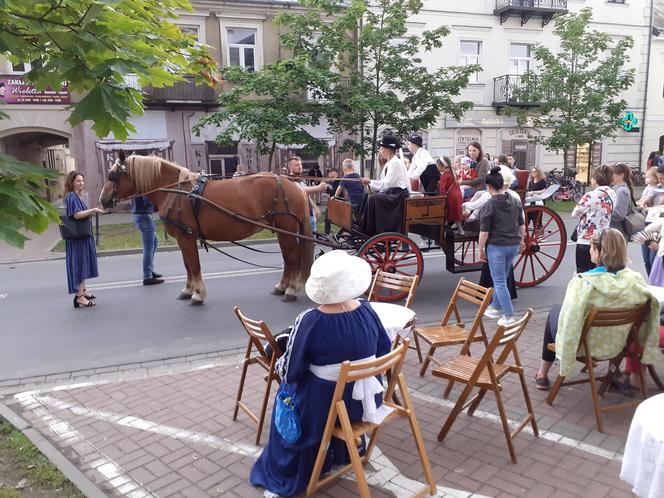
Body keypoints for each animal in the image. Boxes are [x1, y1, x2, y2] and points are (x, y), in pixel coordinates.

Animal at [100, 155, 316, 304]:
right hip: (282, 231)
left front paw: (198, 294)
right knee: (288, 260)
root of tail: (296, 186)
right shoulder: (182, 238)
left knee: (293, 259)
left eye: (113, 176)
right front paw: (188, 290)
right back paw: (282, 287)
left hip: (286, 230)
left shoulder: (186, 238)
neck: (176, 192)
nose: (103, 200)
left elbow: (194, 266)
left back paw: (291, 290)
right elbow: (187, 266)